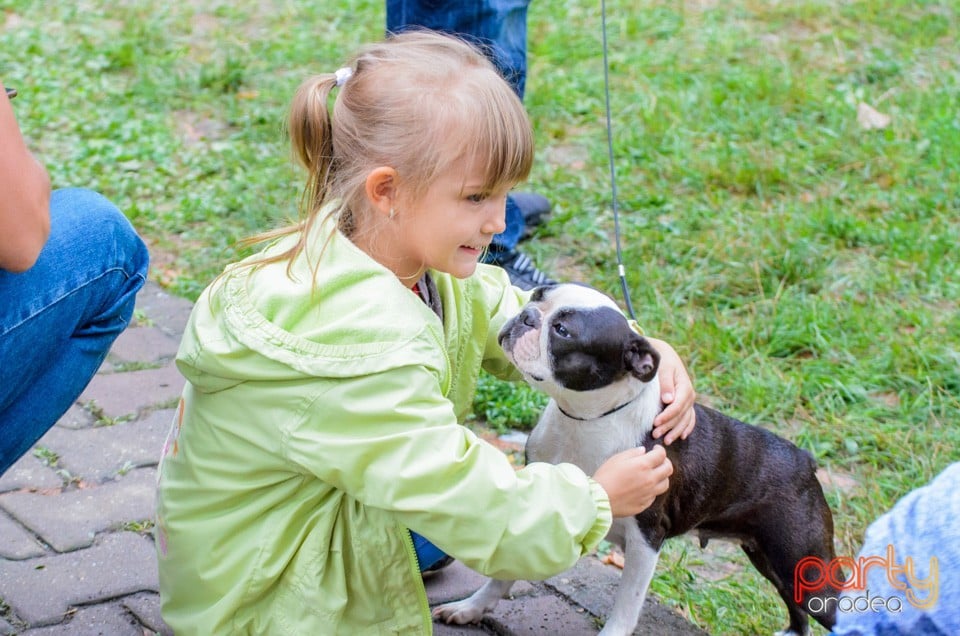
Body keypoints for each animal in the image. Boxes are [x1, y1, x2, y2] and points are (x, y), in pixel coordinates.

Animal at [434, 286, 840, 636]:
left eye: (563, 331)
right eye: (536, 296)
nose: (526, 315)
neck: (583, 420)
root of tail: (805, 461)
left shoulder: (646, 537)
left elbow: (627, 604)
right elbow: (502, 572)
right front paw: (471, 608)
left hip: (800, 562)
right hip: (772, 559)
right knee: (797, 607)